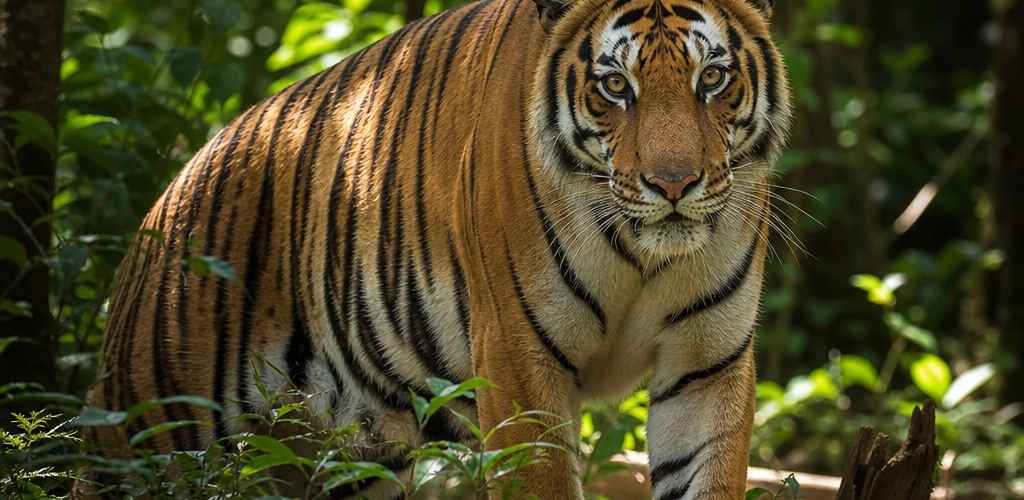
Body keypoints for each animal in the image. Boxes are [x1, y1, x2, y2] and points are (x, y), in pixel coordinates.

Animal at [82, 0, 791, 497]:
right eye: (616, 86)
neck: (645, 254)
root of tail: (165, 199)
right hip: (150, 434)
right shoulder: (517, 357)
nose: (673, 184)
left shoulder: (706, 364)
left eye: (713, 77)